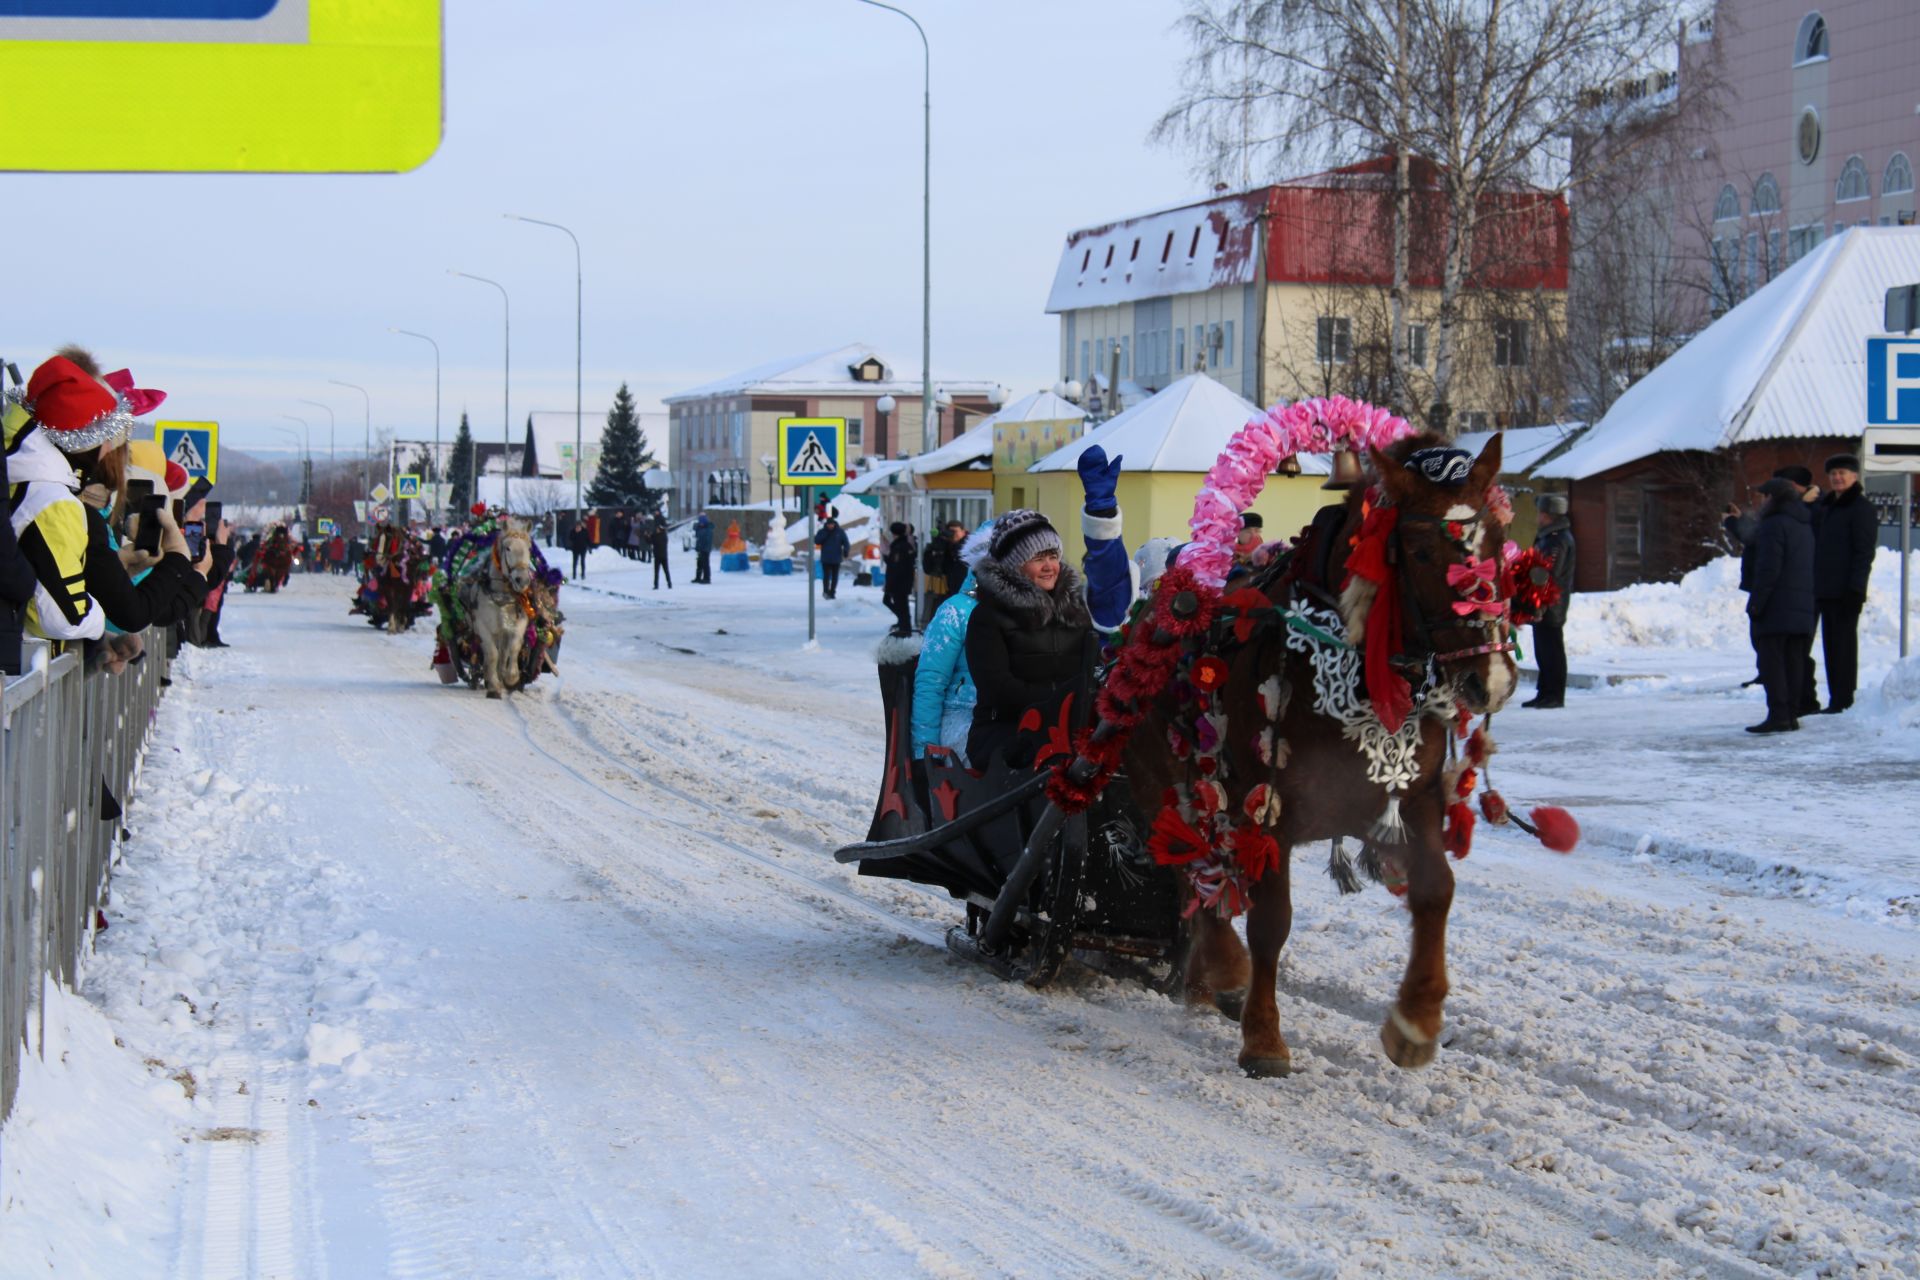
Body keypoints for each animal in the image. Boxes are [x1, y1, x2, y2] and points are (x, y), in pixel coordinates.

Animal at [1121, 433, 1512, 1082]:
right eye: (1422, 551)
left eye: (1499, 544)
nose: (1492, 678)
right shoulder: (1269, 810)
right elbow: (1270, 922)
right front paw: (1263, 1037)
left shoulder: (1408, 797)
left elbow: (1436, 890)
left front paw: (1416, 1022)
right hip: (1167, 780)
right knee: (1188, 865)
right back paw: (1222, 967)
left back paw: (1203, 980)